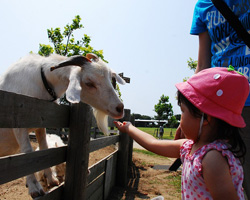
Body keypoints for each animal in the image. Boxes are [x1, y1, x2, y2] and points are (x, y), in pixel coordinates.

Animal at [0, 53, 126, 198]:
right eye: (89, 83)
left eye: (110, 79)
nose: (119, 108)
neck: (42, 81)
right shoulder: (19, 120)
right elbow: (27, 150)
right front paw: (34, 187)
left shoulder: (41, 123)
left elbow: (44, 148)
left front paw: (51, 179)